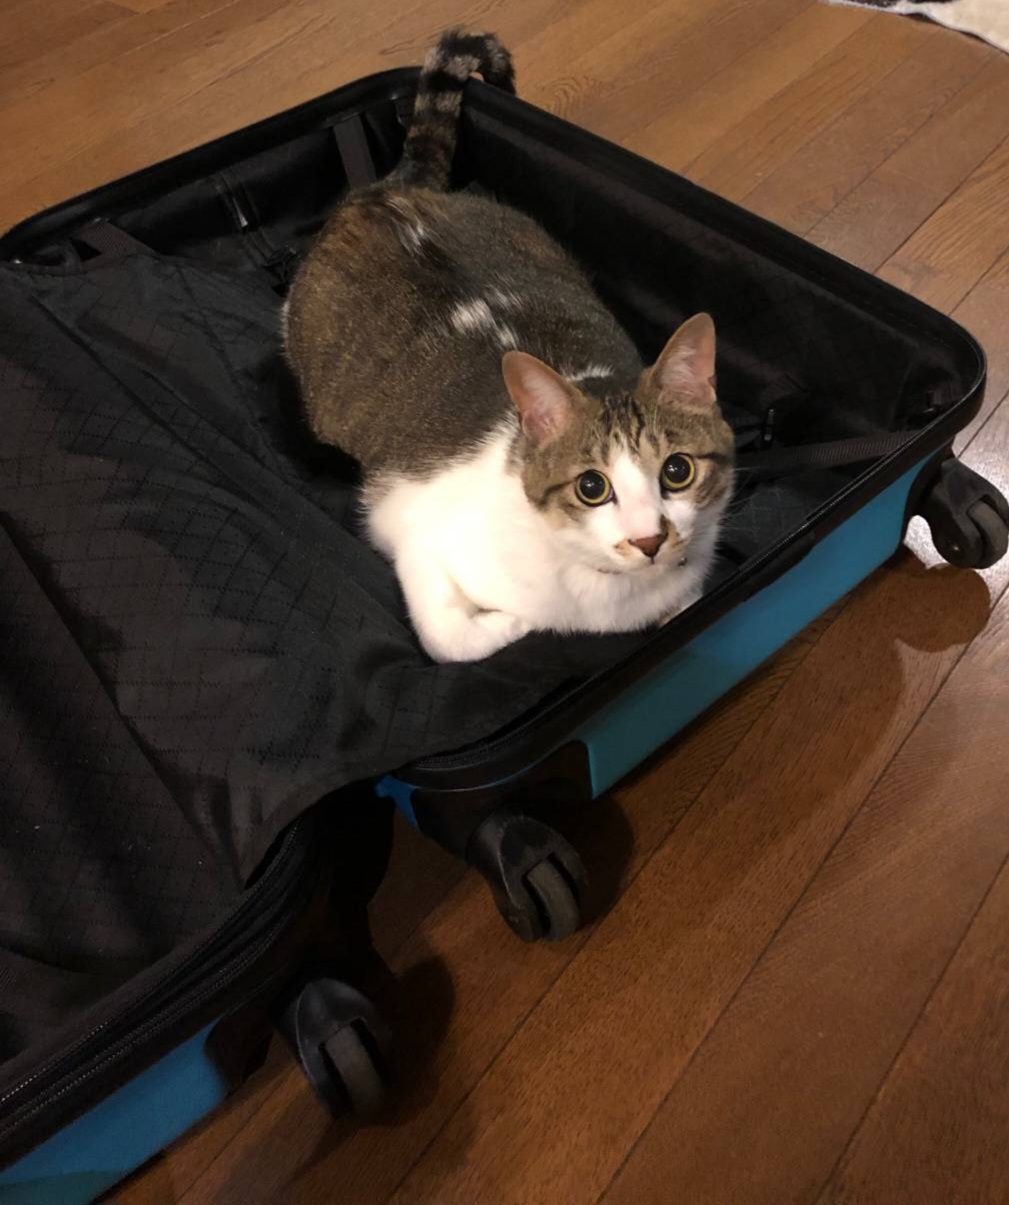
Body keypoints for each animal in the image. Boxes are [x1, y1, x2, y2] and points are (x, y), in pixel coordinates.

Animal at [285, 29, 734, 663]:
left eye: (677, 471)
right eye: (592, 487)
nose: (649, 538)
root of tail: (388, 193)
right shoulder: (409, 527)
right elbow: (449, 639)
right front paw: (511, 624)